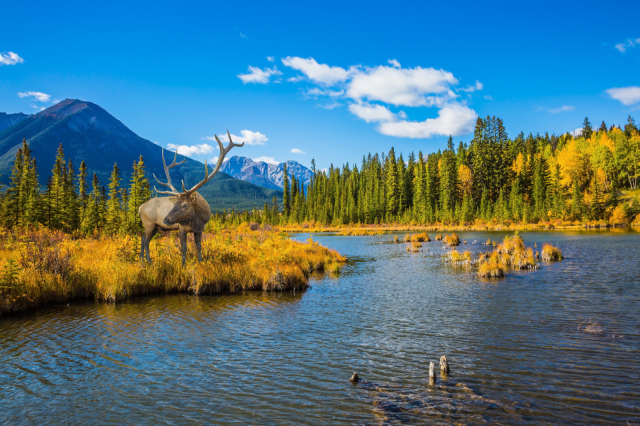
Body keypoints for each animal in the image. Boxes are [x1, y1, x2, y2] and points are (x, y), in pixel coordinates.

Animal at [139, 131, 244, 262]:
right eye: (174, 204)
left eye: (185, 205)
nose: (166, 219)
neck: (196, 218)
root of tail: (140, 208)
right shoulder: (181, 228)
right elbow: (184, 248)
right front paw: (183, 264)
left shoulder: (200, 229)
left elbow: (199, 246)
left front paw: (201, 261)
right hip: (149, 223)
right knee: (145, 240)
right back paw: (148, 261)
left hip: (155, 227)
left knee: (143, 238)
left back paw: (141, 260)